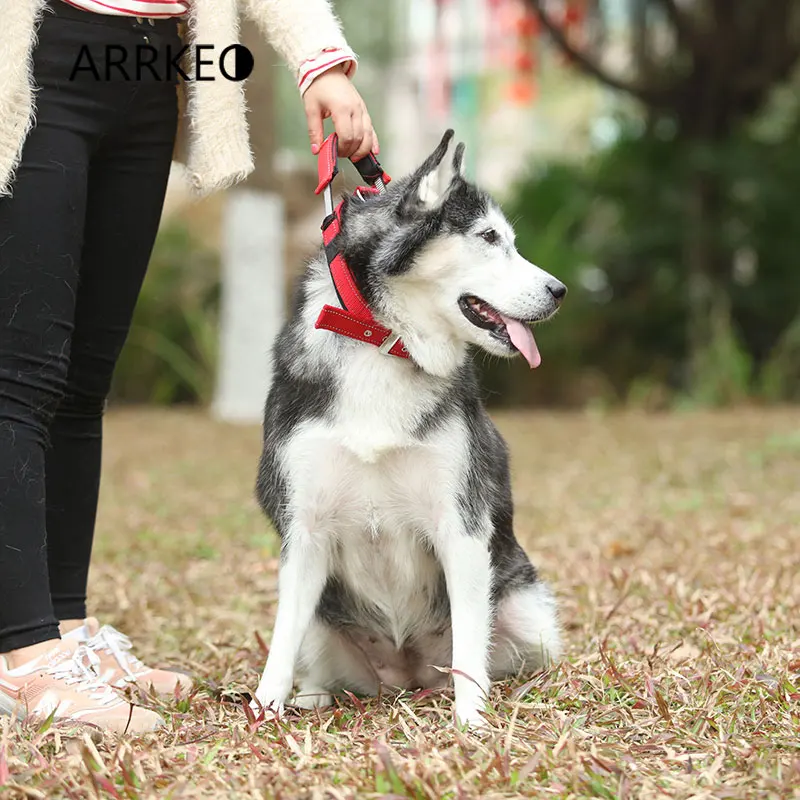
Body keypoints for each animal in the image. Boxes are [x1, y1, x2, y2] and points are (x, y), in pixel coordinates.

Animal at [253, 131, 564, 732]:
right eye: (489, 238)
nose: (560, 290)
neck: (385, 343)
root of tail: (406, 676)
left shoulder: (461, 525)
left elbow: (470, 647)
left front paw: (472, 721)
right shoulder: (304, 529)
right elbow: (281, 640)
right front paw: (264, 708)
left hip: (527, 612)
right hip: (327, 623)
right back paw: (313, 696)